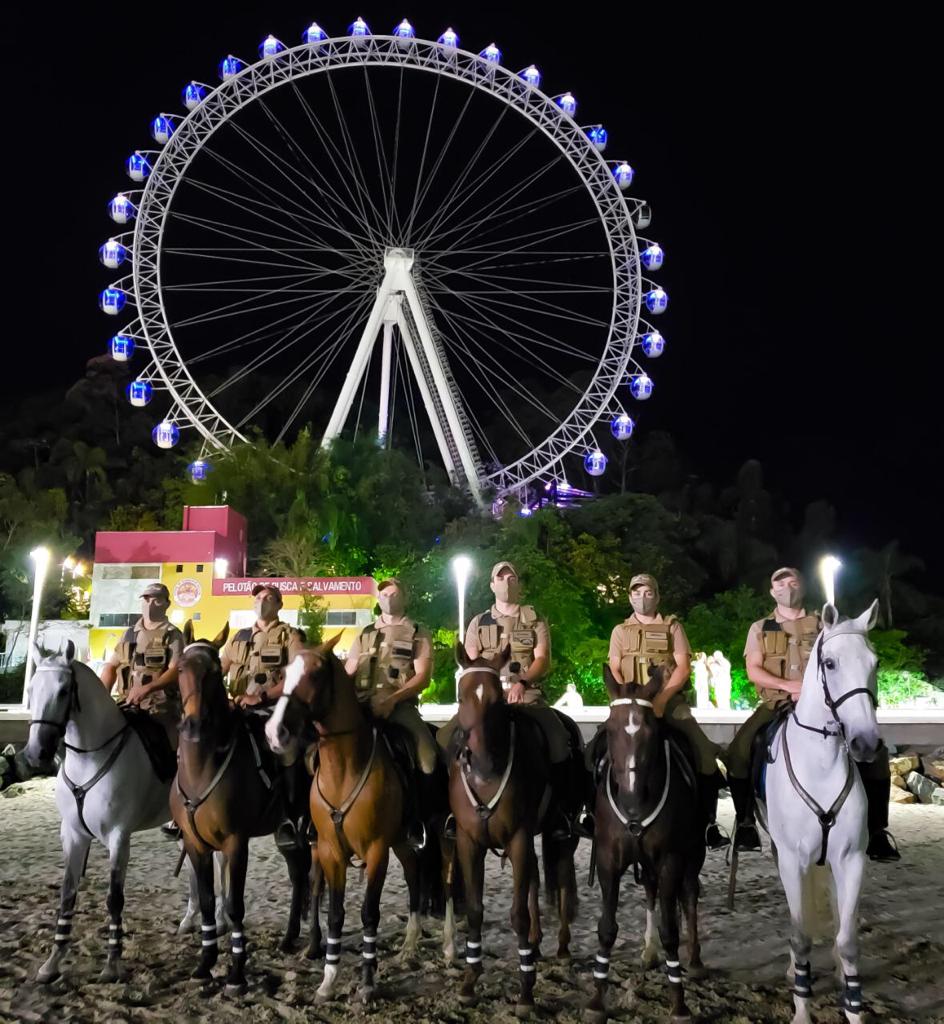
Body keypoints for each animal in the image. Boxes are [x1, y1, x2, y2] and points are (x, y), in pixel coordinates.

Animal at [24, 638, 220, 983]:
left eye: (63, 691)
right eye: (32, 690)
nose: (37, 753)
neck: (89, 758)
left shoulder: (118, 838)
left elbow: (114, 899)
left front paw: (112, 964)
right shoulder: (73, 835)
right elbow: (67, 894)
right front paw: (52, 963)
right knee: (194, 868)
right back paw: (189, 921)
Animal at [170, 638, 311, 991]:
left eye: (214, 671)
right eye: (180, 669)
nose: (193, 725)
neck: (202, 767)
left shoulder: (236, 844)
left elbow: (234, 904)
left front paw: (236, 972)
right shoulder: (196, 845)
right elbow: (208, 902)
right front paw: (205, 963)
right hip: (287, 835)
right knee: (298, 873)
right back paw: (289, 938)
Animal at [264, 634, 448, 1003]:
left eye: (315, 675)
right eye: (285, 673)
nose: (276, 732)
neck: (344, 769)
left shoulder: (376, 851)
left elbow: (369, 913)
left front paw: (367, 981)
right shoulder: (331, 851)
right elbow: (335, 914)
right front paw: (328, 980)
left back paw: (449, 948)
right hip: (403, 843)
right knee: (415, 879)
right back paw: (408, 946)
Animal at [448, 647, 581, 1015]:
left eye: (497, 700)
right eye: (461, 697)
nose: (479, 760)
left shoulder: (519, 838)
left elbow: (518, 913)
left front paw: (525, 990)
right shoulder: (468, 842)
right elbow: (475, 909)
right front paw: (470, 980)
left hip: (562, 834)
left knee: (562, 880)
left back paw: (562, 948)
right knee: (535, 877)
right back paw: (534, 944)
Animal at [761, 602, 880, 1024]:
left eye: (875, 663)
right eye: (829, 663)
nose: (866, 743)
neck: (822, 764)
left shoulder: (852, 859)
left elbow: (848, 939)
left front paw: (854, 1006)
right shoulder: (791, 859)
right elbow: (800, 934)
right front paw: (801, 1008)